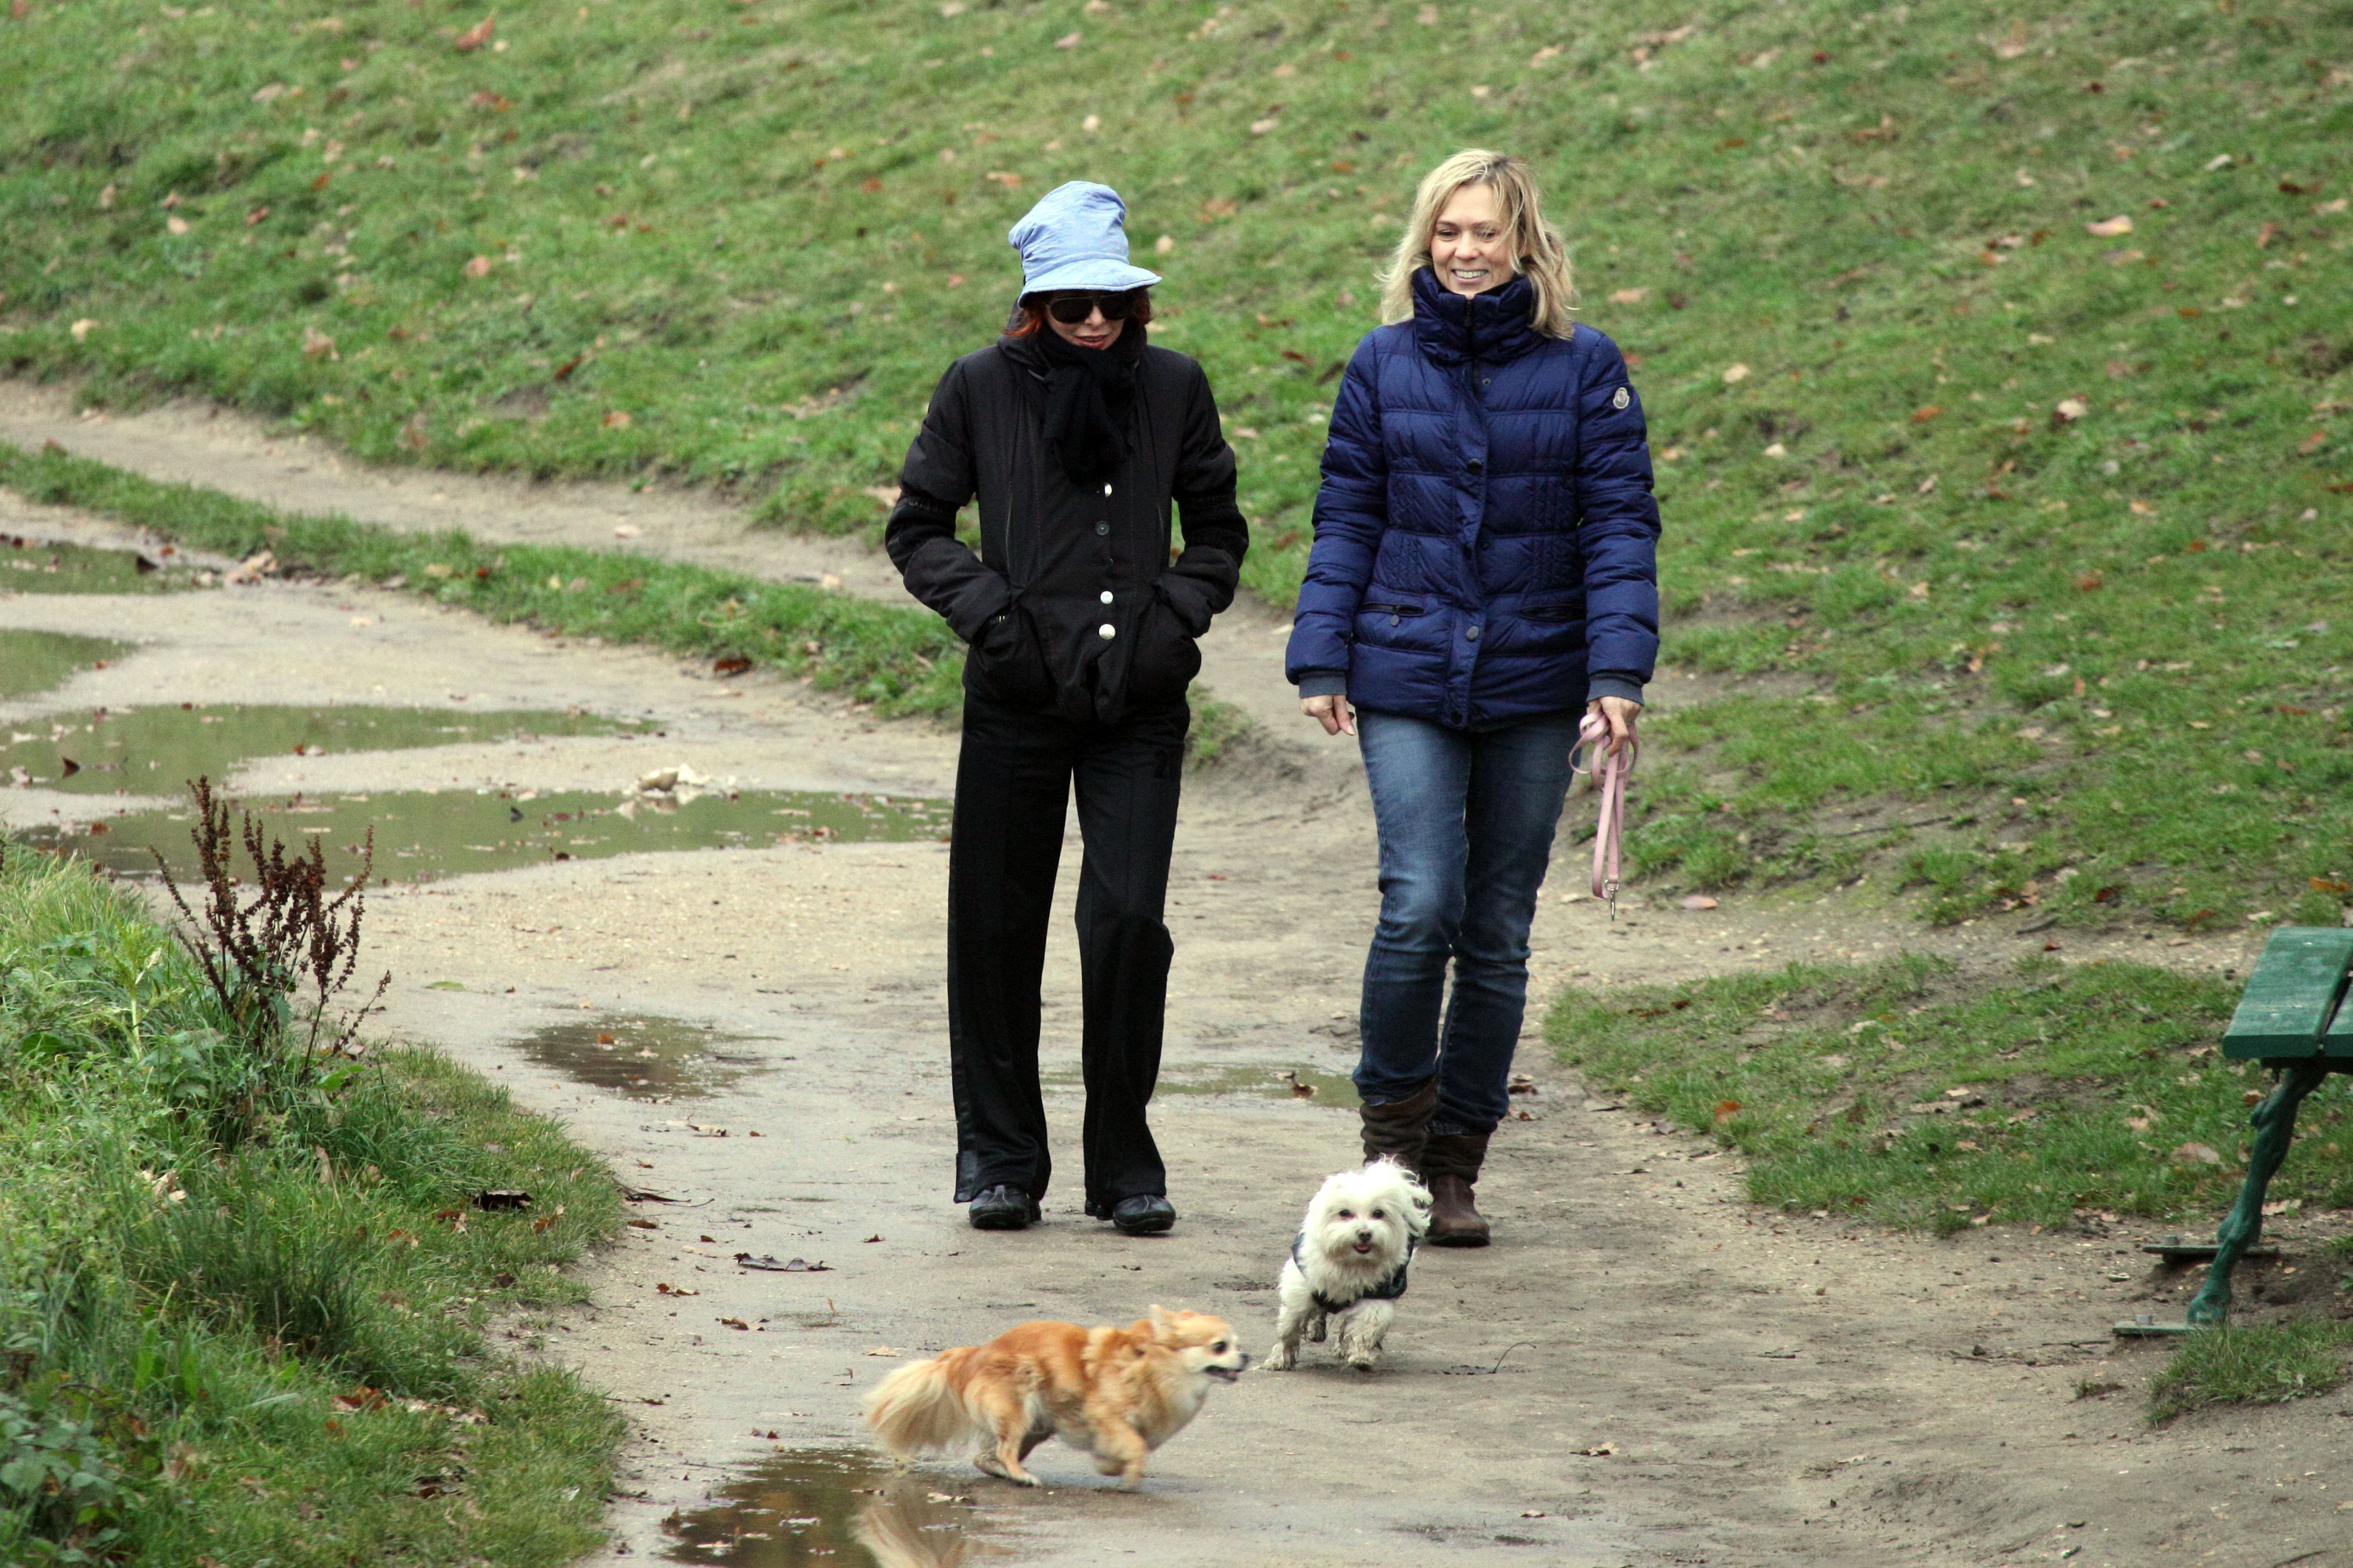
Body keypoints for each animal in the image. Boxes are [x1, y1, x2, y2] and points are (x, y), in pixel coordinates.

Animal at [1261, 1153, 1421, 1365]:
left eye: (1378, 1213)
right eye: (1344, 1213)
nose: (1365, 1233)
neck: (1350, 1262)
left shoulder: (1377, 1296)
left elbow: (1366, 1327)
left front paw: (1361, 1356)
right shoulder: (1301, 1289)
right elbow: (1289, 1327)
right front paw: (1279, 1359)